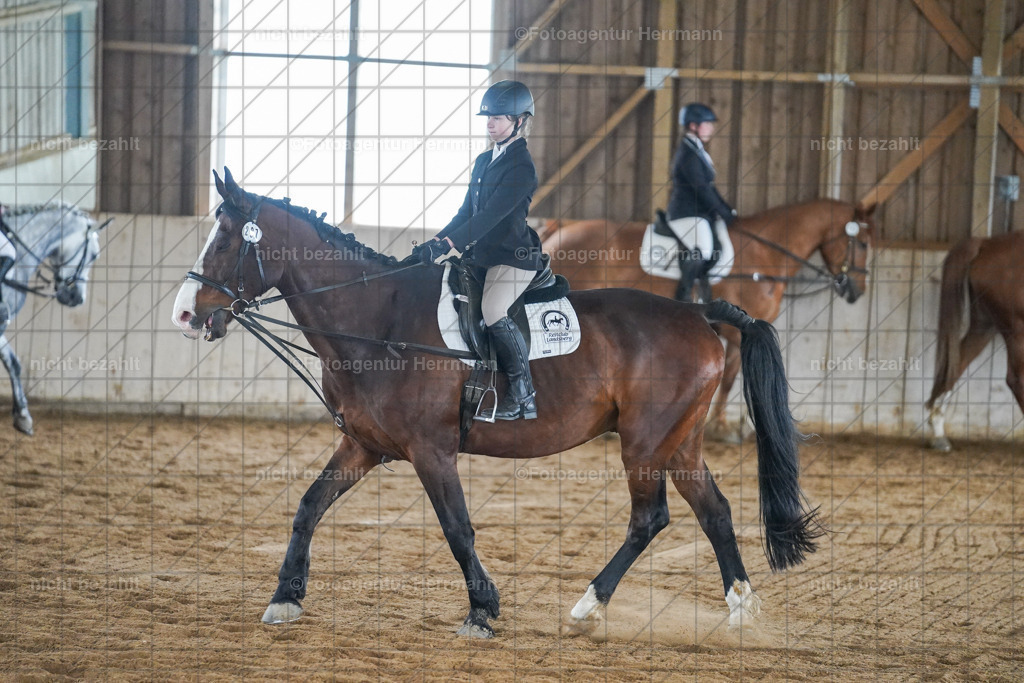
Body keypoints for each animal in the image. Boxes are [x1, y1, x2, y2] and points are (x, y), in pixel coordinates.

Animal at [170, 168, 823, 638]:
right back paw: (740, 608)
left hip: (644, 443)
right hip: (679, 442)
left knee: (650, 518)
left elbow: (457, 528)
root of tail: (698, 313)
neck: (377, 321)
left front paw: (482, 610)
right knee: (714, 512)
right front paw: (285, 599)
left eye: (225, 241)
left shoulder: (431, 451)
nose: (183, 314)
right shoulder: (363, 445)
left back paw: (588, 606)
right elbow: (308, 506)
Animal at [540, 199, 875, 442]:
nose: (857, 290)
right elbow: (729, 380)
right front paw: (724, 428)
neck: (763, 253)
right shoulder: (737, 335)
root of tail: (558, 230)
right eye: (863, 244)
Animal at [926, 231, 1024, 451]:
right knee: (1016, 379)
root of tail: (987, 243)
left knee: (955, 366)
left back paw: (938, 434)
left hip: (984, 324)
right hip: (1017, 329)